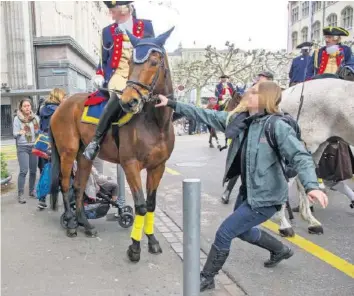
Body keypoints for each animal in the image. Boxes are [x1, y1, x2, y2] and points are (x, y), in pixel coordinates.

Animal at [49, 27, 176, 262]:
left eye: (154, 61)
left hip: (83, 156)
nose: (129, 101)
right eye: (132, 62)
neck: (155, 123)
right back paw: (71, 223)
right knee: (65, 184)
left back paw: (85, 224)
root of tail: (61, 104)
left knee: (79, 186)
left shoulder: (157, 167)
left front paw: (152, 241)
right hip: (67, 153)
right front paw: (135, 248)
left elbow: (151, 205)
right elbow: (141, 206)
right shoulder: (130, 165)